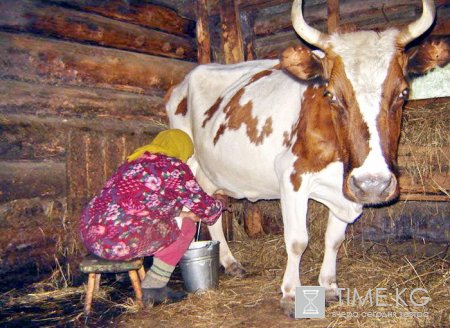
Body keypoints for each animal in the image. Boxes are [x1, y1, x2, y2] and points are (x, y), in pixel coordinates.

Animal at [167, 0, 448, 318]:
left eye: (403, 92)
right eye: (331, 94)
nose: (373, 185)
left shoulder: (346, 187)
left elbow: (334, 239)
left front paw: (329, 286)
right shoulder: (292, 176)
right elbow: (298, 240)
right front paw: (290, 294)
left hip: (210, 174)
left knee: (211, 210)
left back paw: (230, 262)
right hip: (185, 164)